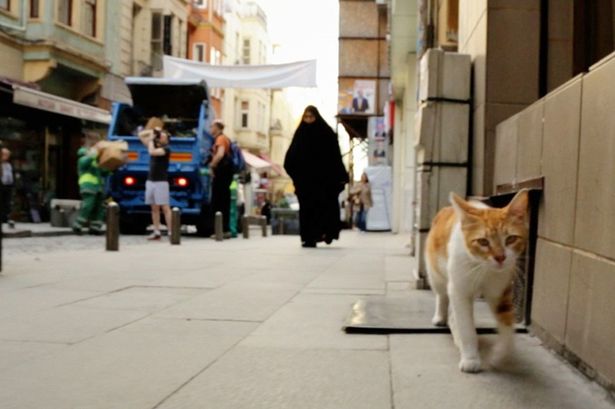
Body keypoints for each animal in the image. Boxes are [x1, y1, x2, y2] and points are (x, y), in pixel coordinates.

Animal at [424, 190, 528, 372]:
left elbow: (507, 322)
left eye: (510, 239)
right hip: (435, 272)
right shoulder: (459, 289)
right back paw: (440, 317)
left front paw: (500, 353)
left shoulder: (500, 290)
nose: (500, 257)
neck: (483, 268)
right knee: (442, 294)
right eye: (483, 241)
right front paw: (470, 358)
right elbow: (466, 326)